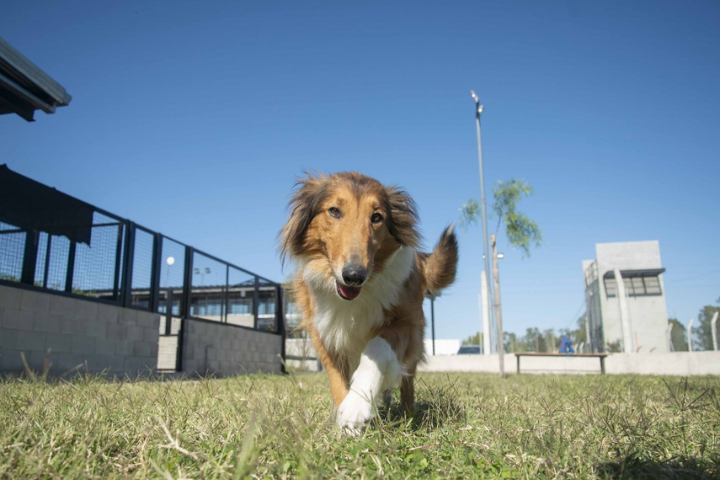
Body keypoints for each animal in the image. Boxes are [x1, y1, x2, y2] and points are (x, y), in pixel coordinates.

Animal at [278, 172, 458, 432]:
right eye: (334, 211)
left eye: (377, 217)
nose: (354, 276)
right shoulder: (324, 332)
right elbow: (336, 379)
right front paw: (344, 421)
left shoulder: (405, 323)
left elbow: (377, 348)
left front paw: (356, 405)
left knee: (407, 381)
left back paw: (407, 412)